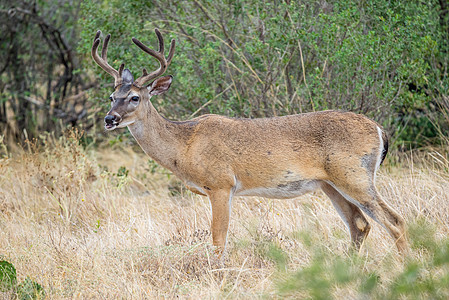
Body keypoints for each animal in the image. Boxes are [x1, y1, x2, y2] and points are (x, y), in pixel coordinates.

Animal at [90, 28, 406, 253]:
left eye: (135, 97)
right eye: (111, 96)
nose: (109, 119)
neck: (185, 145)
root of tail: (380, 129)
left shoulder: (220, 184)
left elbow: (218, 240)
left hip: (354, 175)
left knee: (395, 222)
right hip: (331, 184)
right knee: (359, 225)